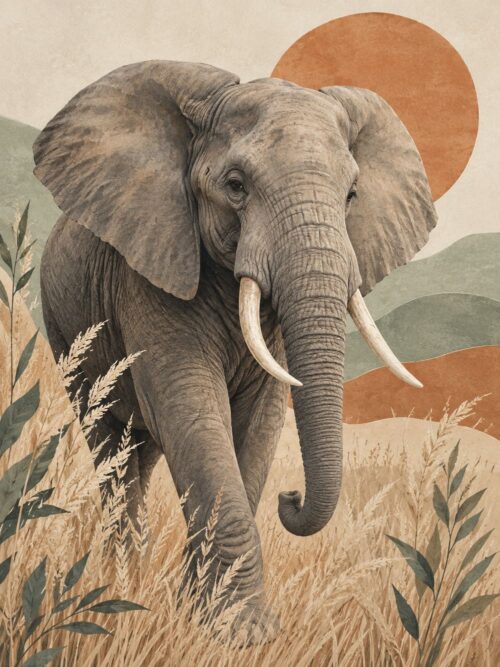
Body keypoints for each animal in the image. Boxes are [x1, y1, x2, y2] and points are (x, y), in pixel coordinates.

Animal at [33, 61, 436, 643]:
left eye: (352, 195)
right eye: (235, 186)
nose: (291, 499)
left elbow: (260, 419)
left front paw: (208, 613)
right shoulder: (148, 271)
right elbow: (190, 408)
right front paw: (238, 632)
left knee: (139, 452)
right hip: (67, 332)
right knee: (110, 444)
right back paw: (120, 582)